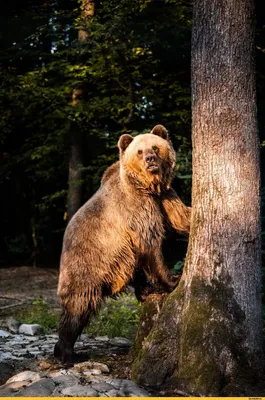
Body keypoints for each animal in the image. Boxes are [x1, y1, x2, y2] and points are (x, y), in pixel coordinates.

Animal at [53, 124, 190, 362]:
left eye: (155, 147)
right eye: (140, 151)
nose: (151, 159)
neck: (148, 188)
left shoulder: (165, 198)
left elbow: (181, 218)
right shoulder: (137, 210)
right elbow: (152, 245)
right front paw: (172, 280)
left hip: (118, 260)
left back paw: (144, 290)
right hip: (85, 263)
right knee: (78, 306)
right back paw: (68, 352)